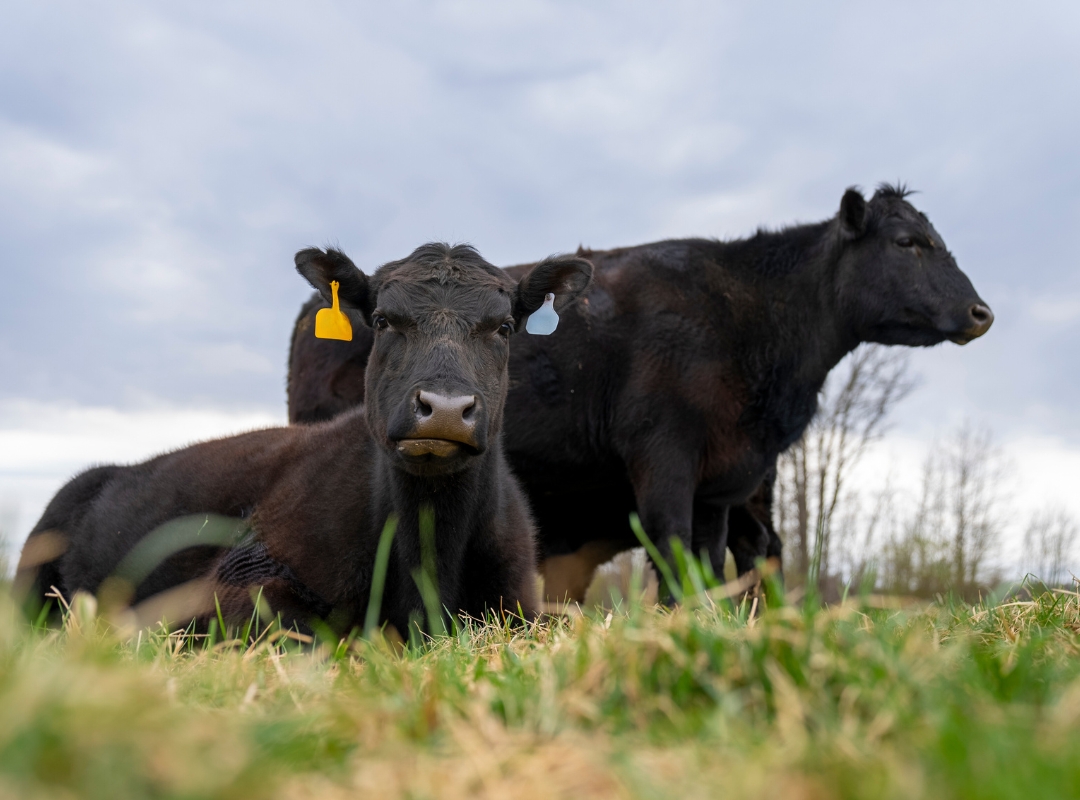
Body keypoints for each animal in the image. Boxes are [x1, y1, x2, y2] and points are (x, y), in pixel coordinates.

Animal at [285, 184, 993, 600]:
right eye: (907, 242)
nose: (981, 312)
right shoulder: (664, 456)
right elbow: (674, 552)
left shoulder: (724, 483)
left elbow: (709, 561)